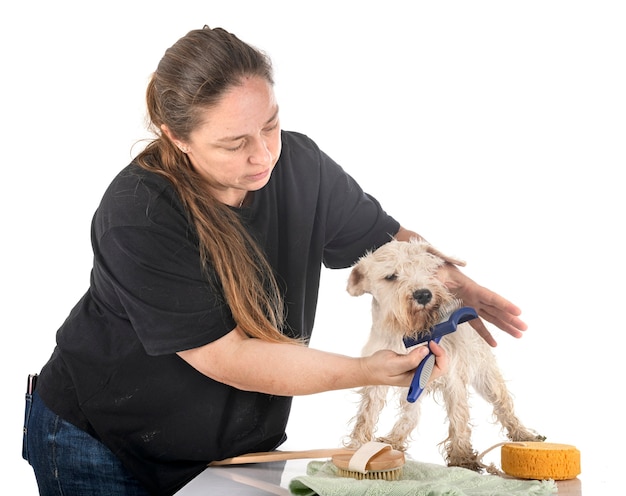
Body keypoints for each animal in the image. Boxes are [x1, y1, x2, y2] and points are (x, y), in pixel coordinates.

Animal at [344, 238, 540, 470]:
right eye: (391, 276)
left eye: (427, 268)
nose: (423, 294)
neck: (409, 332)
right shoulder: (379, 377)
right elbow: (366, 414)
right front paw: (357, 448)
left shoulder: (453, 379)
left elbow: (459, 418)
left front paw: (462, 457)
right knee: (411, 416)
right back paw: (394, 440)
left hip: (487, 378)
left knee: (504, 407)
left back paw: (524, 435)